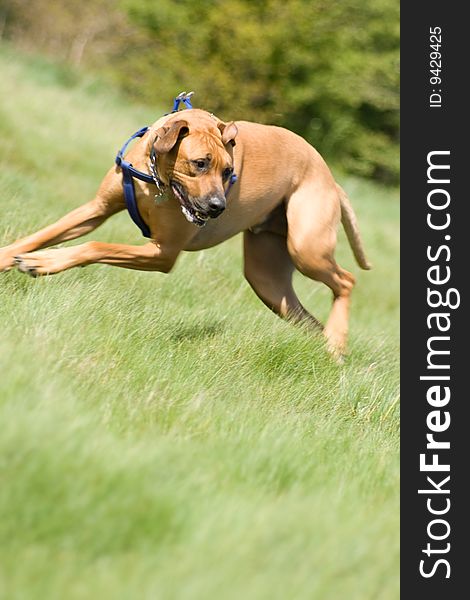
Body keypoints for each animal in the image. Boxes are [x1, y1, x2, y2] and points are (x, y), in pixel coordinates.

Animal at [0, 106, 370, 356]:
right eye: (200, 163)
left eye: (229, 170)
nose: (218, 206)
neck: (155, 179)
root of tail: (332, 180)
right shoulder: (95, 210)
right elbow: (44, 234)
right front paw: (12, 257)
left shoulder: (162, 253)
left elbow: (94, 247)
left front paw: (42, 262)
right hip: (266, 279)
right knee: (307, 317)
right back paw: (329, 346)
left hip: (305, 246)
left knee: (346, 280)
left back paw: (336, 342)